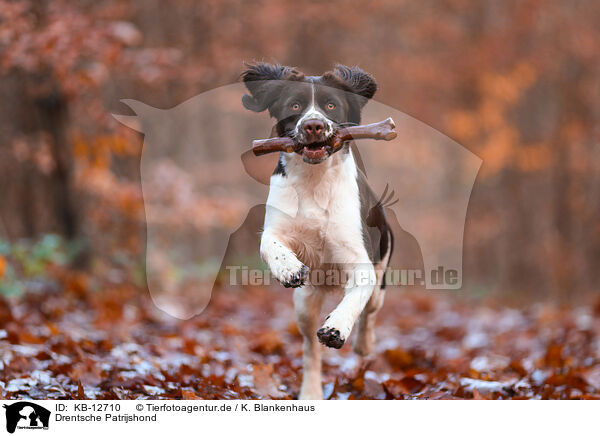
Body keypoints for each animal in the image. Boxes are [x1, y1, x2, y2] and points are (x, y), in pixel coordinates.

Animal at [241, 62, 392, 398]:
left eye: (331, 106)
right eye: (295, 106)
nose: (313, 126)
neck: (314, 180)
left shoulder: (360, 261)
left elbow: (356, 297)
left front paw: (337, 327)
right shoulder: (276, 226)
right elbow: (270, 244)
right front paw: (289, 269)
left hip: (381, 273)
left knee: (371, 312)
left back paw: (364, 344)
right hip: (305, 305)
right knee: (310, 348)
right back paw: (310, 392)